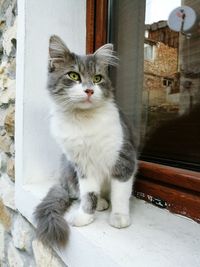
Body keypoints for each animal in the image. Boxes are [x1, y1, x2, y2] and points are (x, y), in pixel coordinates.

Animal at [34, 35, 138, 247]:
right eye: (74, 76)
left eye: (97, 78)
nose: (89, 90)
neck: (83, 120)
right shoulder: (83, 166)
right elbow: (88, 193)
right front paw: (85, 216)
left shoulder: (124, 159)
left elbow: (120, 193)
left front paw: (119, 217)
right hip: (69, 169)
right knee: (79, 194)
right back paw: (101, 204)